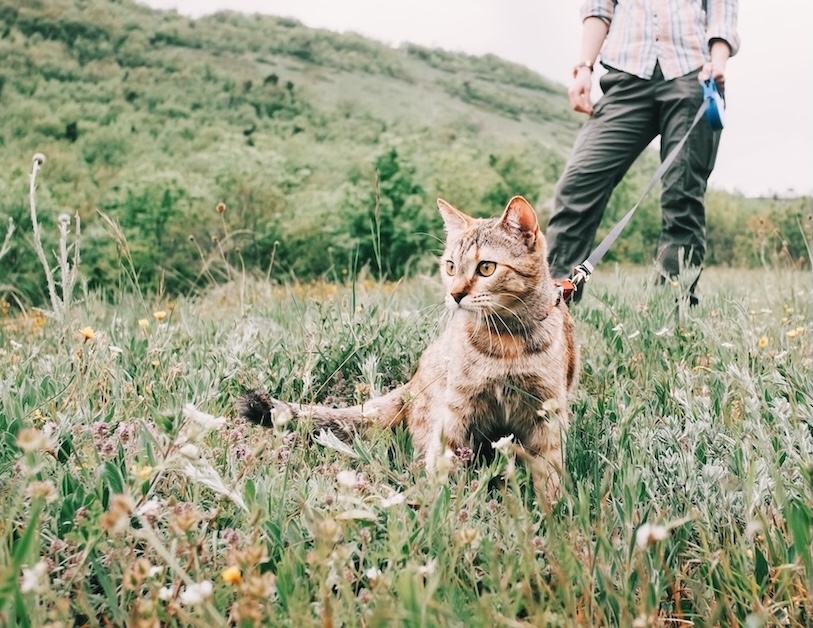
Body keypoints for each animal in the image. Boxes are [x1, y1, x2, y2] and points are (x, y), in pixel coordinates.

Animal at [241, 195, 576, 500]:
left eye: (486, 268)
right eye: (450, 267)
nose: (454, 294)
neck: (507, 341)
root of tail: (411, 384)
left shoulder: (548, 413)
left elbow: (549, 471)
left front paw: (553, 510)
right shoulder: (456, 410)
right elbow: (442, 464)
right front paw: (438, 508)